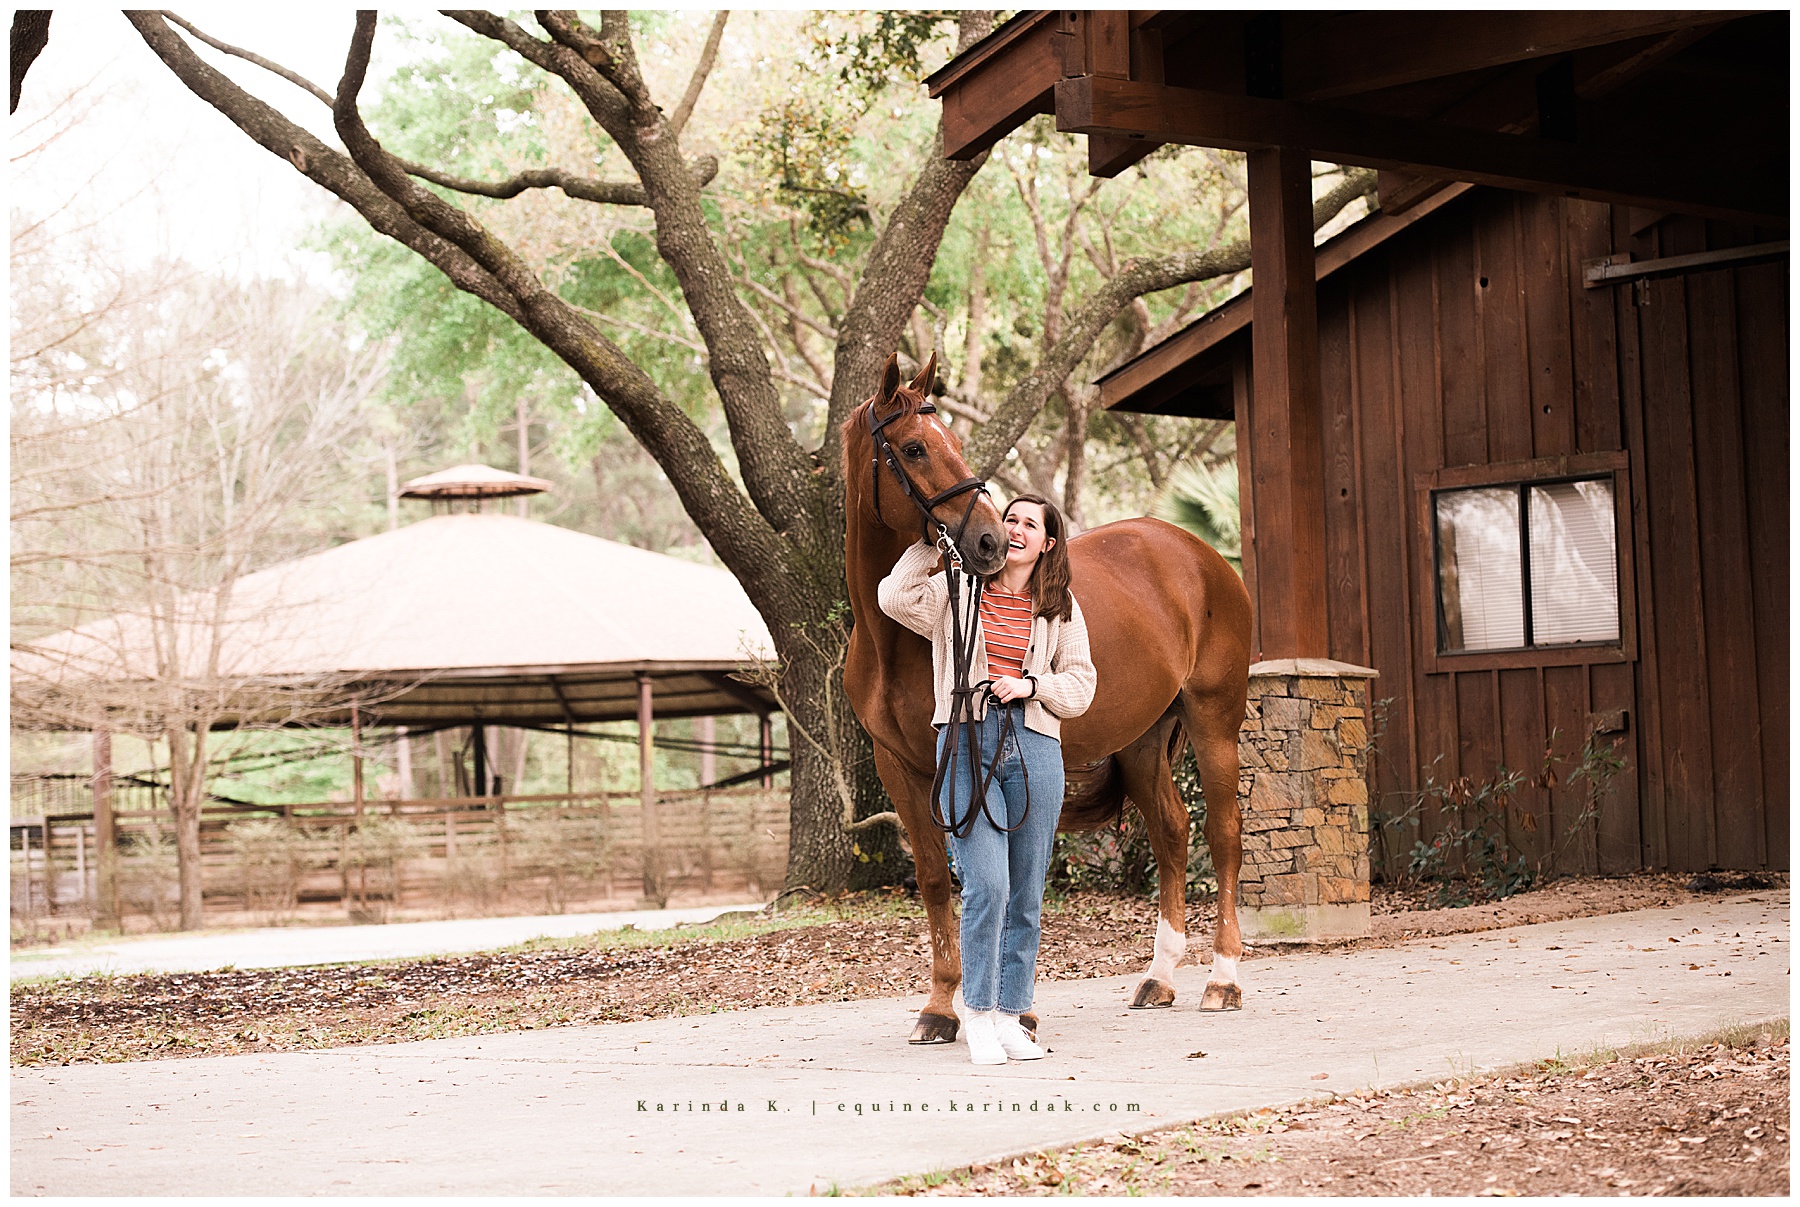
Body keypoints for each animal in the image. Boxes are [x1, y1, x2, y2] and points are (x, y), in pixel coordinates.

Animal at [842, 351, 1255, 1045]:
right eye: (916, 447)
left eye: (954, 441)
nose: (989, 540)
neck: (896, 636)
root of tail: (1199, 555)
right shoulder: (901, 768)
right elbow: (934, 881)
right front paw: (940, 1007)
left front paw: (1014, 1012)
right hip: (1143, 740)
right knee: (1172, 831)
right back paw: (1160, 977)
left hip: (1213, 719)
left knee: (1222, 833)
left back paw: (1222, 979)